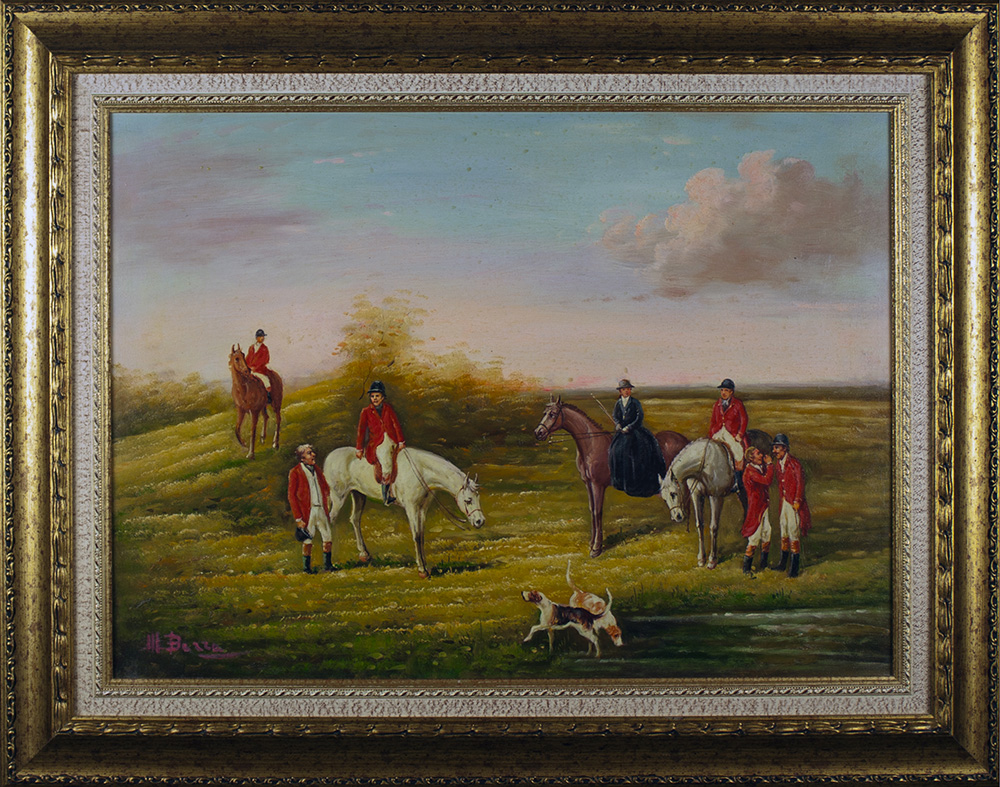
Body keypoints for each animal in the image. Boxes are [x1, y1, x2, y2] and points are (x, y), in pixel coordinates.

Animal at [322, 440, 485, 578]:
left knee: (355, 519)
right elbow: (416, 535)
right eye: (468, 500)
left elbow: (421, 534)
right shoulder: (411, 508)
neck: (421, 472)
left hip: (358, 495)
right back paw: (330, 563)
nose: (480, 521)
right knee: (330, 521)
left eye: (478, 497)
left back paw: (364, 554)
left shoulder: (422, 508)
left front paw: (425, 565)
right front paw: (422, 570)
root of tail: (329, 457)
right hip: (338, 497)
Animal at [533, 397, 690, 558]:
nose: (538, 432)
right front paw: (592, 543)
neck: (592, 444)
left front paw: (596, 547)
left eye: (552, 414)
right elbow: (592, 510)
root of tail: (682, 438)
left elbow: (598, 512)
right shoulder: (588, 484)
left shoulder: (598, 485)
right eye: (544, 413)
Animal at [659, 429, 772, 569]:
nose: (677, 517)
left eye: (673, 493)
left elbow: (713, 526)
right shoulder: (697, 496)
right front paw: (701, 558)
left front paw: (712, 560)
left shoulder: (716, 498)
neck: (703, 466)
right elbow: (699, 524)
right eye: (664, 499)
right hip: (743, 490)